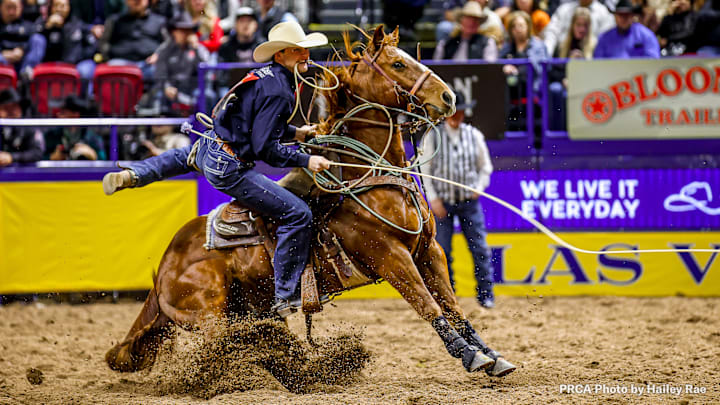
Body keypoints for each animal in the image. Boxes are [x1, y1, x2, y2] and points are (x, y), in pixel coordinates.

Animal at [105, 25, 516, 379]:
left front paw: (492, 355)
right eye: (398, 64)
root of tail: (163, 270)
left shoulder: (428, 249)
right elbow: (428, 304)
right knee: (230, 345)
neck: (365, 175)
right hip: (213, 313)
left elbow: (453, 305)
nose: (448, 97)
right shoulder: (389, 255)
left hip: (247, 306)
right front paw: (469, 355)